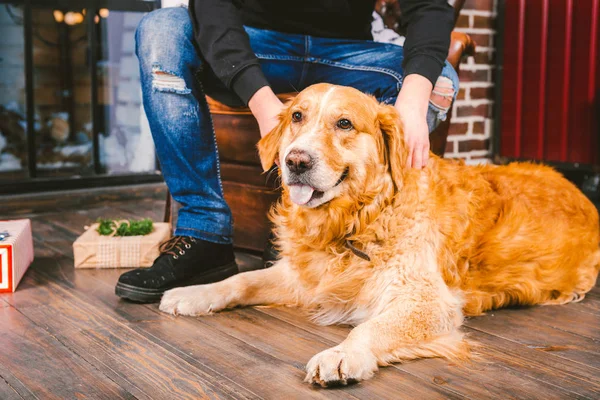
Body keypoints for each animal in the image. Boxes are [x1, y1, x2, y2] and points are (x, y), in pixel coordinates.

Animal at [159, 83, 600, 386]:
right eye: (297, 117)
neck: (356, 221)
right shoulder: (303, 277)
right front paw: (194, 293)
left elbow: (368, 327)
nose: (295, 161)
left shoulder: (429, 302)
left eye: (344, 123)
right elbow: (240, 280)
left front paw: (341, 355)